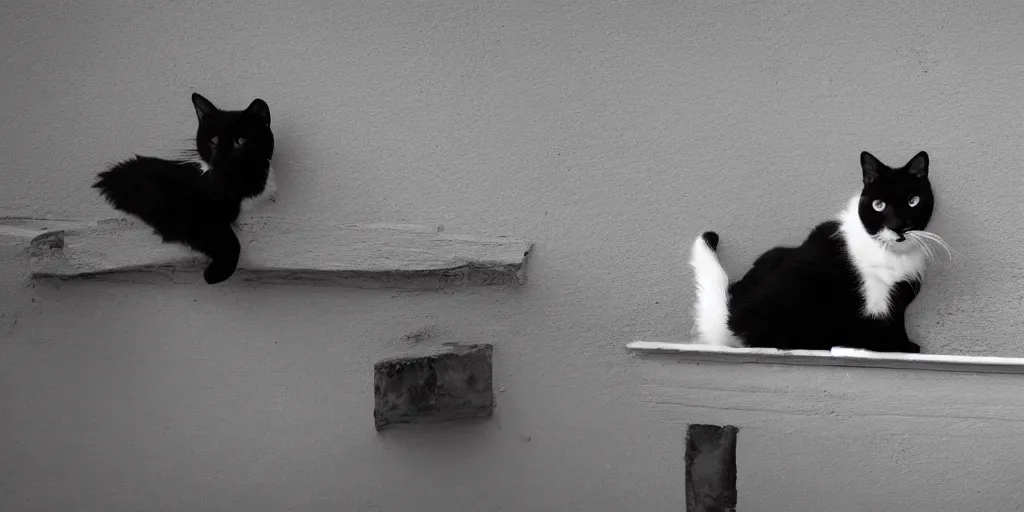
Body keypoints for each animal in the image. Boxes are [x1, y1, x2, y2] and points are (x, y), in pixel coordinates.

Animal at [92, 92, 274, 284]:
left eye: (241, 140)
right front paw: (216, 273)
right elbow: (228, 239)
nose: (219, 159)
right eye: (213, 140)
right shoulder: (189, 214)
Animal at [688, 149, 942, 354]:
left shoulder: (900, 295)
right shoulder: (873, 296)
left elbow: (897, 319)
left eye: (913, 201)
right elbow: (879, 324)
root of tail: (730, 316)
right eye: (878, 205)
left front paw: (904, 344)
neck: (894, 255)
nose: (897, 225)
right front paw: (894, 346)